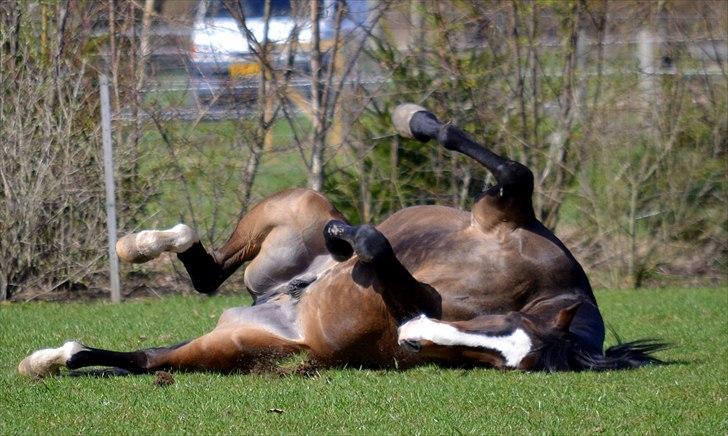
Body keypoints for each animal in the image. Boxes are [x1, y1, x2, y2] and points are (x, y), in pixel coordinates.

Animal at [17, 104, 664, 376]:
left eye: (509, 360)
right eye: (496, 328)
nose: (415, 338)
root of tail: (270, 301)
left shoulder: (407, 295)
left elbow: (377, 246)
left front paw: (351, 240)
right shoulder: (497, 221)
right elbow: (508, 169)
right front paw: (414, 120)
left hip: (234, 337)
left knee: (161, 339)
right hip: (298, 206)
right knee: (208, 269)